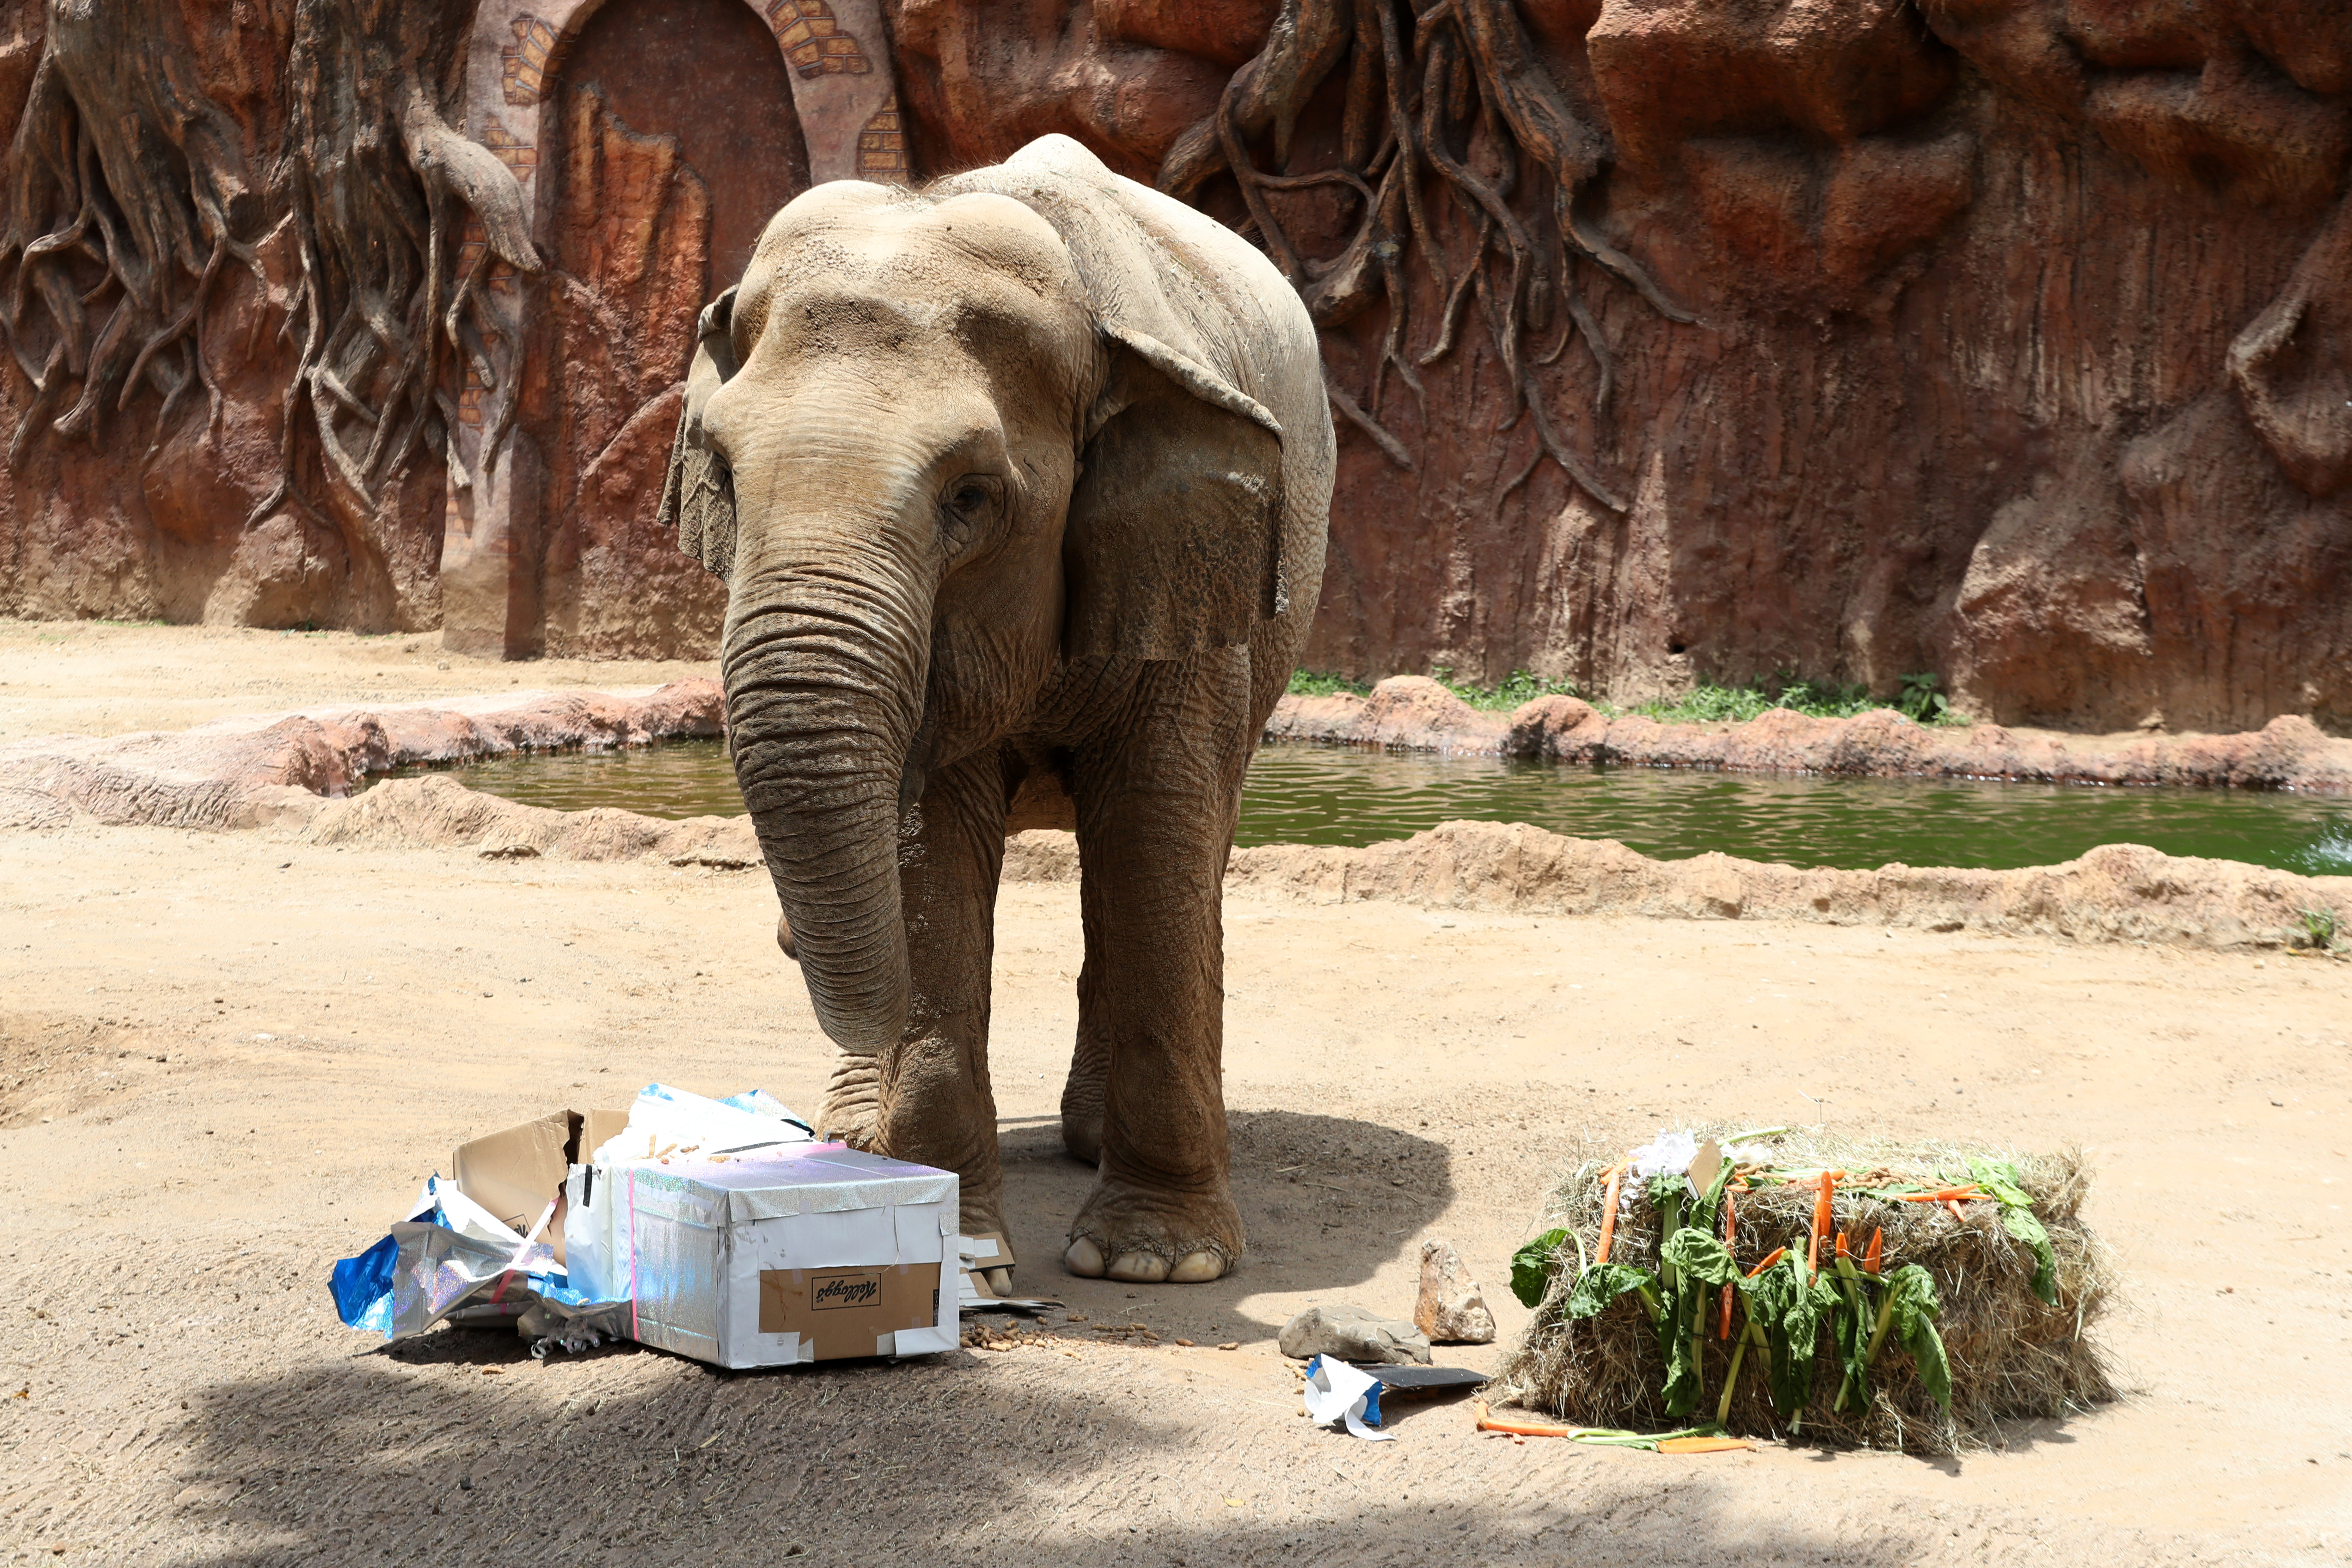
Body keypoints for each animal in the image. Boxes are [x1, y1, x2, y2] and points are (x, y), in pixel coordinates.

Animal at [657, 135, 1334, 1285]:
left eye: (971, 498)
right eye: (727, 480)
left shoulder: (1191, 577)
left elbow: (1158, 828)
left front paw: (1157, 1262)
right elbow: (934, 857)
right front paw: (963, 1257)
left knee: (1164, 853)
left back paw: (1085, 1144)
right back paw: (858, 1138)